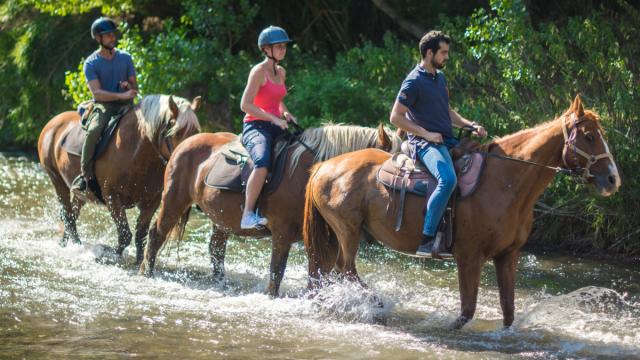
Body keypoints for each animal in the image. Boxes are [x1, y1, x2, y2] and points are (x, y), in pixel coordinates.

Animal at [37, 94, 200, 262]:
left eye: (196, 131)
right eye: (178, 133)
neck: (136, 152)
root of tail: (52, 122)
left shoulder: (151, 202)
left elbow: (140, 236)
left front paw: (138, 262)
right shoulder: (112, 197)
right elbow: (125, 235)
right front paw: (107, 255)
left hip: (82, 194)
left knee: (72, 214)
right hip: (56, 180)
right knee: (68, 215)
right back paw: (76, 246)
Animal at [141, 124, 402, 296]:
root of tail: (185, 143)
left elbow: (324, 270)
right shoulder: (282, 231)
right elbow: (277, 270)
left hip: (220, 218)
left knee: (216, 248)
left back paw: (221, 284)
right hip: (173, 201)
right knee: (156, 235)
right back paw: (146, 272)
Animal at [302, 96, 624, 330]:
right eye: (589, 136)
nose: (613, 179)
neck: (505, 182)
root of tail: (323, 166)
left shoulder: (508, 255)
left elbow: (508, 310)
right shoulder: (469, 257)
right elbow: (466, 311)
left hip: (335, 234)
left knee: (329, 270)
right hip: (347, 230)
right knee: (345, 269)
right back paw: (375, 303)